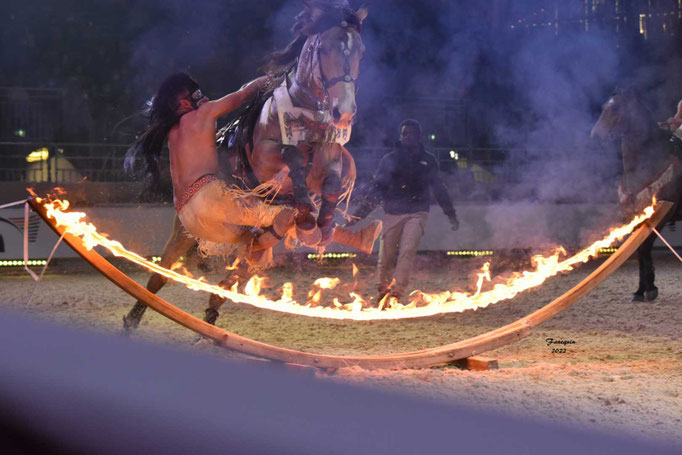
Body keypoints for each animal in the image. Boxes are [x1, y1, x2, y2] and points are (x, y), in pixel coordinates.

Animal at [123, 0, 378, 332]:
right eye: (325, 49)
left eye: (360, 51)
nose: (343, 112)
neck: (302, 119)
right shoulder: (266, 162)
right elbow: (291, 157)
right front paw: (308, 215)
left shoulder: (327, 163)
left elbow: (332, 183)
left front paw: (322, 223)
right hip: (185, 231)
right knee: (160, 276)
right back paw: (134, 318)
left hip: (248, 235)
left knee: (239, 269)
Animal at [588, 88, 680, 302]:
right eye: (603, 107)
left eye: (615, 109)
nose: (595, 137)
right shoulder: (636, 217)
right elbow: (638, 250)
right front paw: (640, 290)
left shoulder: (660, 216)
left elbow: (645, 249)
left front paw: (650, 289)